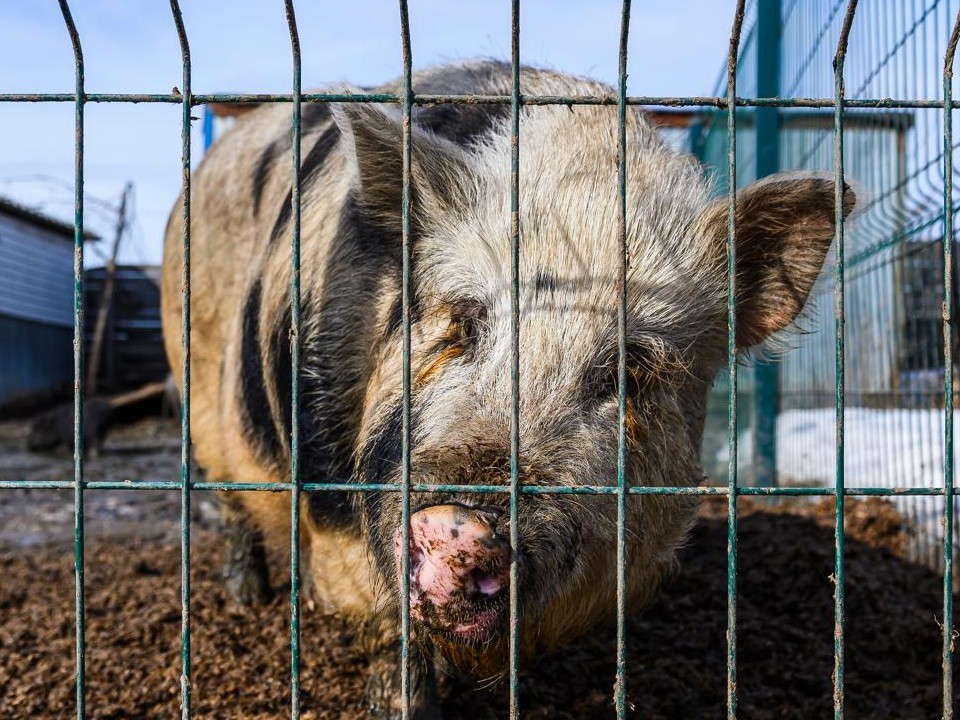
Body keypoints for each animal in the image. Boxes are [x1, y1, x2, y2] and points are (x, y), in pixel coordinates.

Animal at [159, 59, 856, 716]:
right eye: (462, 323)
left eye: (630, 369)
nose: (457, 526)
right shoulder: (331, 498)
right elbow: (387, 635)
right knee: (229, 500)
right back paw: (247, 598)